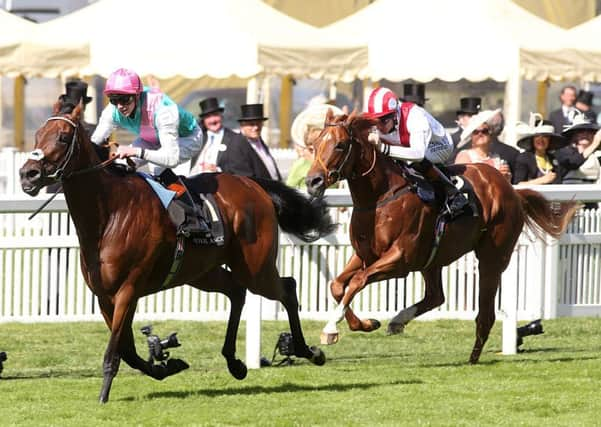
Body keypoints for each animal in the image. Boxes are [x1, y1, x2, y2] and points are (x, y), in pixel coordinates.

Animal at [19, 102, 332, 402]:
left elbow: (115, 350)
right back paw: (235, 362)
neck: (110, 214)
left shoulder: (128, 290)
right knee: (236, 291)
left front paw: (104, 395)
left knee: (287, 288)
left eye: (62, 137)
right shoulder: (104, 296)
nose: (27, 174)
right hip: (201, 272)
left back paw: (310, 352)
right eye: (37, 135)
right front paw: (168, 366)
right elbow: (127, 350)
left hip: (255, 268)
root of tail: (253, 184)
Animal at [304, 111, 576, 364]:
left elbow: (357, 281)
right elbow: (337, 285)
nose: (312, 181)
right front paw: (365, 324)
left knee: (485, 312)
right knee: (436, 295)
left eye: (340, 145)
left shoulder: (400, 260)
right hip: (432, 258)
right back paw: (398, 321)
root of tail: (511, 190)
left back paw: (473, 357)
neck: (381, 197)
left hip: (492, 257)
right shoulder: (365, 255)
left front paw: (330, 329)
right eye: (315, 144)